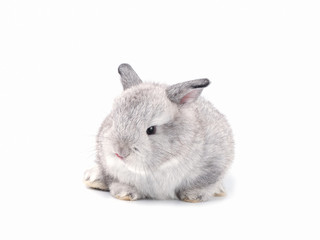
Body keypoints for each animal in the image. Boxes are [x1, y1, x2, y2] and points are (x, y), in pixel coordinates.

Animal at [84, 63, 235, 202]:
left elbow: (204, 183)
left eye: (151, 130)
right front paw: (125, 193)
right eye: (113, 119)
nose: (120, 152)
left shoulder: (213, 166)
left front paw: (193, 196)